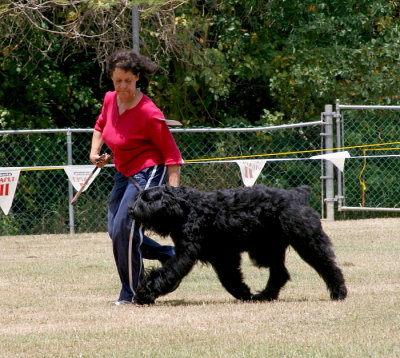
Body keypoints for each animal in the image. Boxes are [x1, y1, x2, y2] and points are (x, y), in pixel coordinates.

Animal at [129, 185, 346, 304]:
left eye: (146, 198)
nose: (130, 209)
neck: (188, 208)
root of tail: (297, 195)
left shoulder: (186, 254)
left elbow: (166, 272)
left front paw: (145, 293)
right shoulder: (222, 256)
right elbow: (230, 279)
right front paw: (244, 293)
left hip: (307, 242)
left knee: (327, 266)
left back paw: (339, 292)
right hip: (270, 249)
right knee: (279, 274)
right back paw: (264, 295)